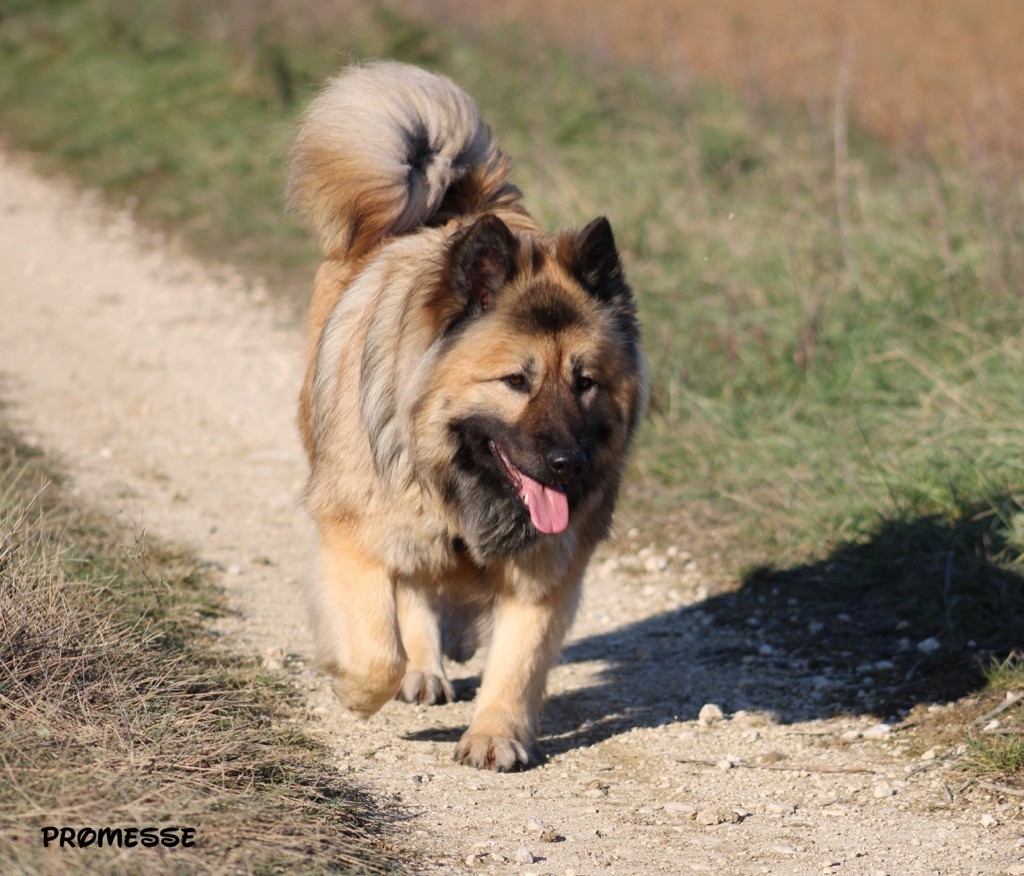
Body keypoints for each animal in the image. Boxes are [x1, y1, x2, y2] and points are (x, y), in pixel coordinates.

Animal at [288, 61, 647, 770]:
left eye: (585, 382)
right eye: (515, 381)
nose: (568, 464)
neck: (462, 480)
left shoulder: (546, 568)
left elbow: (519, 657)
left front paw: (495, 735)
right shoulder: (355, 531)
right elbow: (375, 651)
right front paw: (353, 688)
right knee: (409, 598)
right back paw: (423, 669)